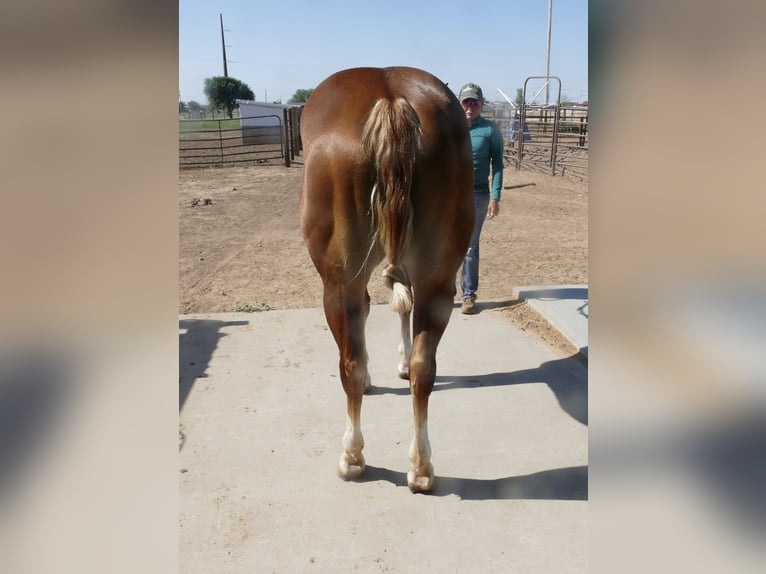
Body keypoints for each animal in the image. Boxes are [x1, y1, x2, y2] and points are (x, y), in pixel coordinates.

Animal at [299, 66, 474, 493]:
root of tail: (391, 98)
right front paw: (400, 363)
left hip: (338, 285)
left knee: (349, 363)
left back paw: (351, 457)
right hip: (438, 281)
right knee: (425, 368)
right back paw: (422, 467)